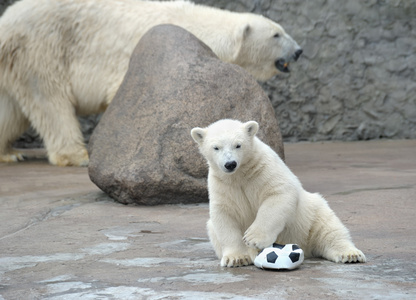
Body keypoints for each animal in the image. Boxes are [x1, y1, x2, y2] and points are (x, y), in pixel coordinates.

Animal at [0, 0, 300, 166]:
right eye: (276, 34)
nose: (298, 51)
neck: (193, 25)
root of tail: (6, 23)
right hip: (41, 48)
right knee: (50, 101)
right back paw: (76, 155)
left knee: (11, 111)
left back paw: (10, 153)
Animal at [190, 119, 366, 268]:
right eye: (216, 147)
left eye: (238, 145)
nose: (230, 164)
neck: (239, 174)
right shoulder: (222, 183)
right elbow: (225, 215)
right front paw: (236, 258)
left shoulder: (263, 167)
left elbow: (279, 193)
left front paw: (253, 239)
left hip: (311, 214)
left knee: (329, 229)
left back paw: (350, 254)